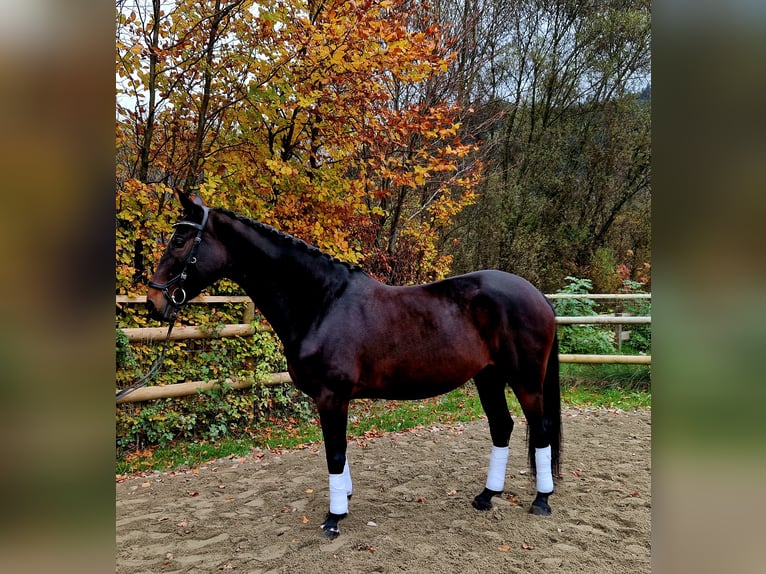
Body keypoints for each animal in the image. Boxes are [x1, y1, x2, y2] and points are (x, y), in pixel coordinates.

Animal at [146, 196, 564, 544]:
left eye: (180, 240)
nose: (153, 302)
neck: (321, 303)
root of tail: (538, 295)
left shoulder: (332, 396)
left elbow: (334, 453)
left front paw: (334, 519)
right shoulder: (333, 398)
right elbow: (339, 452)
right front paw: (343, 499)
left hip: (525, 379)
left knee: (540, 429)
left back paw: (541, 500)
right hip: (488, 376)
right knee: (502, 427)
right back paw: (486, 496)